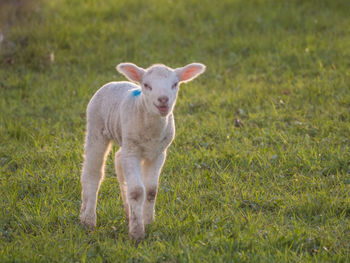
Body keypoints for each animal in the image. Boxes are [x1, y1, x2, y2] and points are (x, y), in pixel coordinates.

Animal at [79, 62, 205, 241]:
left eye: (175, 84)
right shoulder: (133, 152)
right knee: (92, 173)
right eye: (146, 85)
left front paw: (147, 221)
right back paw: (88, 219)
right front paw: (137, 233)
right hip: (96, 128)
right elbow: (137, 191)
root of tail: (113, 82)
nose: (163, 99)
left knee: (119, 160)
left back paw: (128, 213)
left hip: (125, 141)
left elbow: (151, 190)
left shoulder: (158, 153)